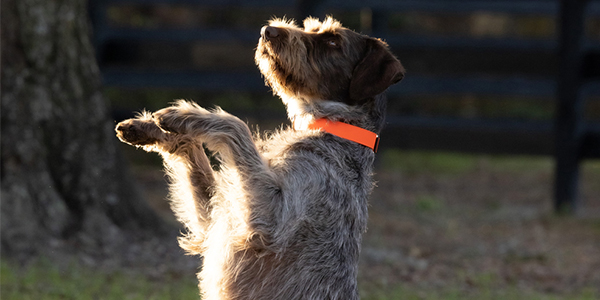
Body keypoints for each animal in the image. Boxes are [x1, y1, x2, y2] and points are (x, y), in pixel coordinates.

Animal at [115, 15, 406, 300]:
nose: (268, 30)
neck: (331, 126)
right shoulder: (217, 216)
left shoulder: (271, 217)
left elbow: (236, 125)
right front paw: (152, 129)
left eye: (333, 41)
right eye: (311, 28)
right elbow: (194, 157)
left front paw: (187, 114)